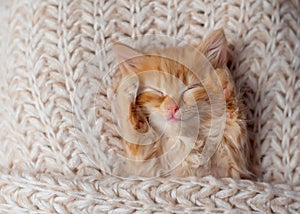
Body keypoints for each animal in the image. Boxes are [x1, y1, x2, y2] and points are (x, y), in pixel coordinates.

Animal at [111, 28, 252, 179]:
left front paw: (222, 85)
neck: (183, 142)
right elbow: (135, 133)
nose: (172, 107)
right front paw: (130, 83)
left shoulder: (229, 168)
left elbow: (233, 126)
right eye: (157, 91)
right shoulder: (147, 167)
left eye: (190, 88)